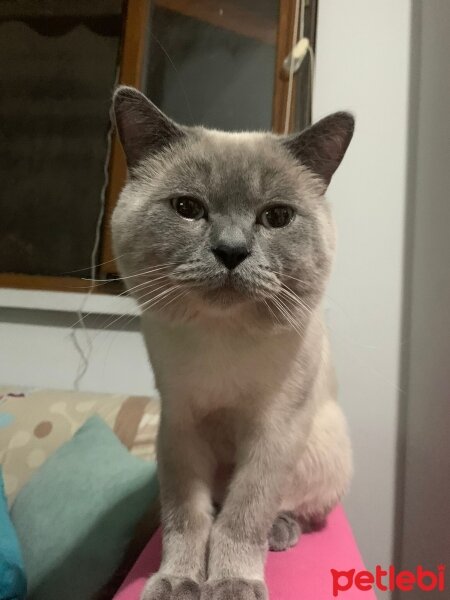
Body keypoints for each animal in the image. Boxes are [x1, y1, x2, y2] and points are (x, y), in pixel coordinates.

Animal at [111, 85, 356, 600]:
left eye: (277, 217)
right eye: (187, 209)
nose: (231, 251)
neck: (222, 341)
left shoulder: (274, 431)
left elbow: (243, 517)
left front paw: (231, 583)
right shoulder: (181, 427)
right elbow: (187, 518)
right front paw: (179, 581)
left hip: (323, 446)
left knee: (288, 507)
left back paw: (281, 532)